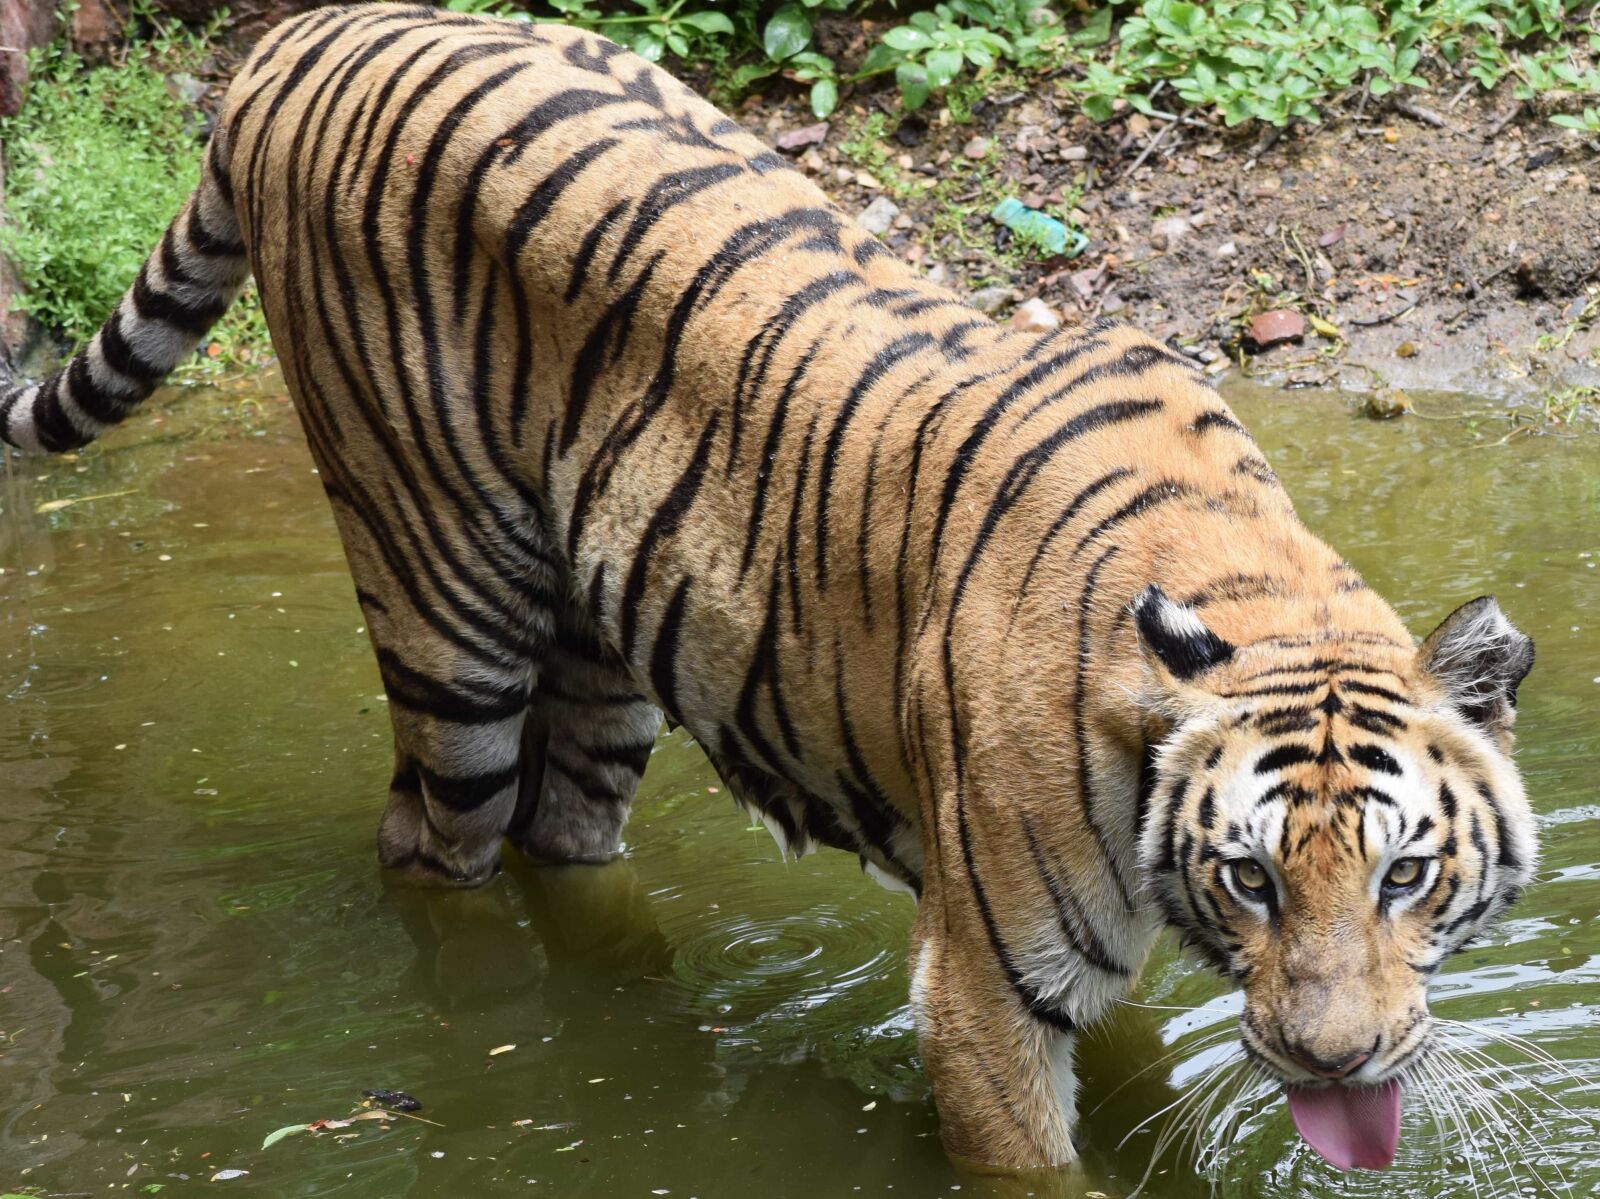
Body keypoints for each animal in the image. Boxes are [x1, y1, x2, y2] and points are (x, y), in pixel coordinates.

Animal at [0, 3, 1538, 1174]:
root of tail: (302, 34)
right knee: (429, 846)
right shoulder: (983, 986)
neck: (1255, 587)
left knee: (565, 832)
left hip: (610, 651)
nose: (1334, 1058)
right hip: (442, 601)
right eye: (1250, 875)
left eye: (1404, 872)